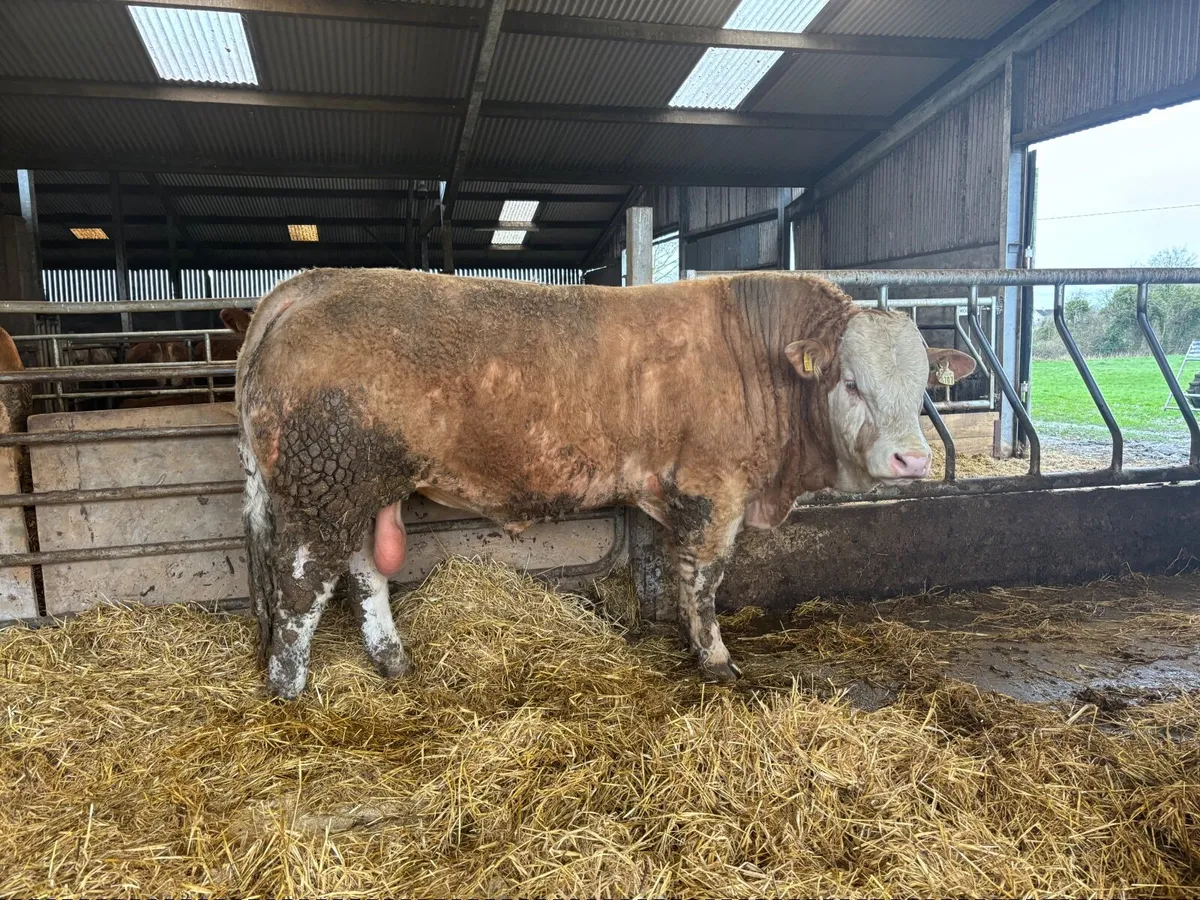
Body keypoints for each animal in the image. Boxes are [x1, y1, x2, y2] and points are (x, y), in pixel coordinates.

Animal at [236, 269, 975, 699]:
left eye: (922, 385)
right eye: (850, 382)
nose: (912, 461)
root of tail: (309, 285)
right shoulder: (715, 490)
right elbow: (702, 580)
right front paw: (714, 658)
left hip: (356, 486)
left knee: (361, 570)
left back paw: (391, 658)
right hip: (324, 481)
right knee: (301, 582)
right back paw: (289, 687)